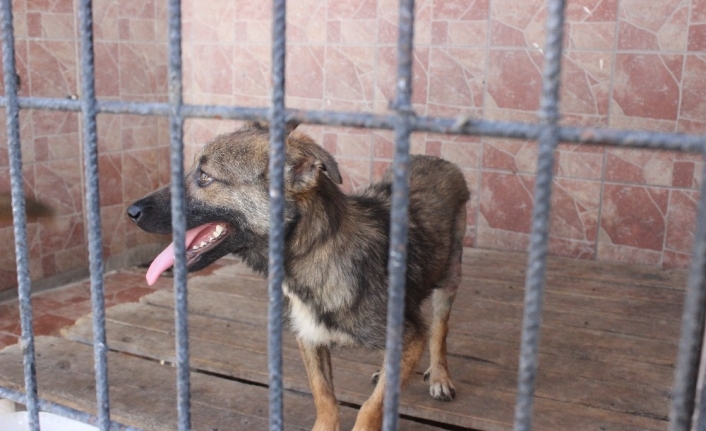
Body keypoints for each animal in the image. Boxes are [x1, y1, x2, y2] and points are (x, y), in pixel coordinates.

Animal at [126, 122, 468, 431]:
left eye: (204, 177)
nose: (131, 212)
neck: (314, 256)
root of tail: (438, 159)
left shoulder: (410, 334)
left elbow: (372, 406)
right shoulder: (309, 336)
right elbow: (324, 397)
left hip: (450, 278)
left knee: (440, 329)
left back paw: (439, 376)